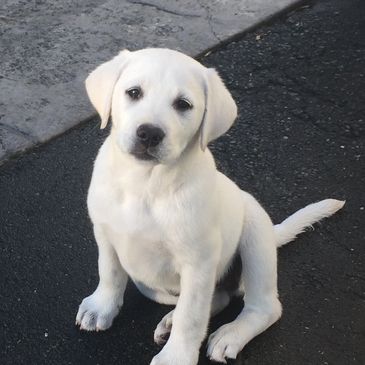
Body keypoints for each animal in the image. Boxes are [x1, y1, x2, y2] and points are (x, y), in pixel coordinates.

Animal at [74, 48, 344, 364]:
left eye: (183, 104)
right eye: (133, 92)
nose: (149, 133)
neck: (146, 183)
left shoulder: (198, 263)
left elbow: (191, 317)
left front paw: (175, 357)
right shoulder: (105, 233)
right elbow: (110, 272)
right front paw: (101, 307)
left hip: (255, 237)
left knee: (264, 306)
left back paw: (229, 334)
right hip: (154, 286)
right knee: (217, 298)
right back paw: (170, 321)